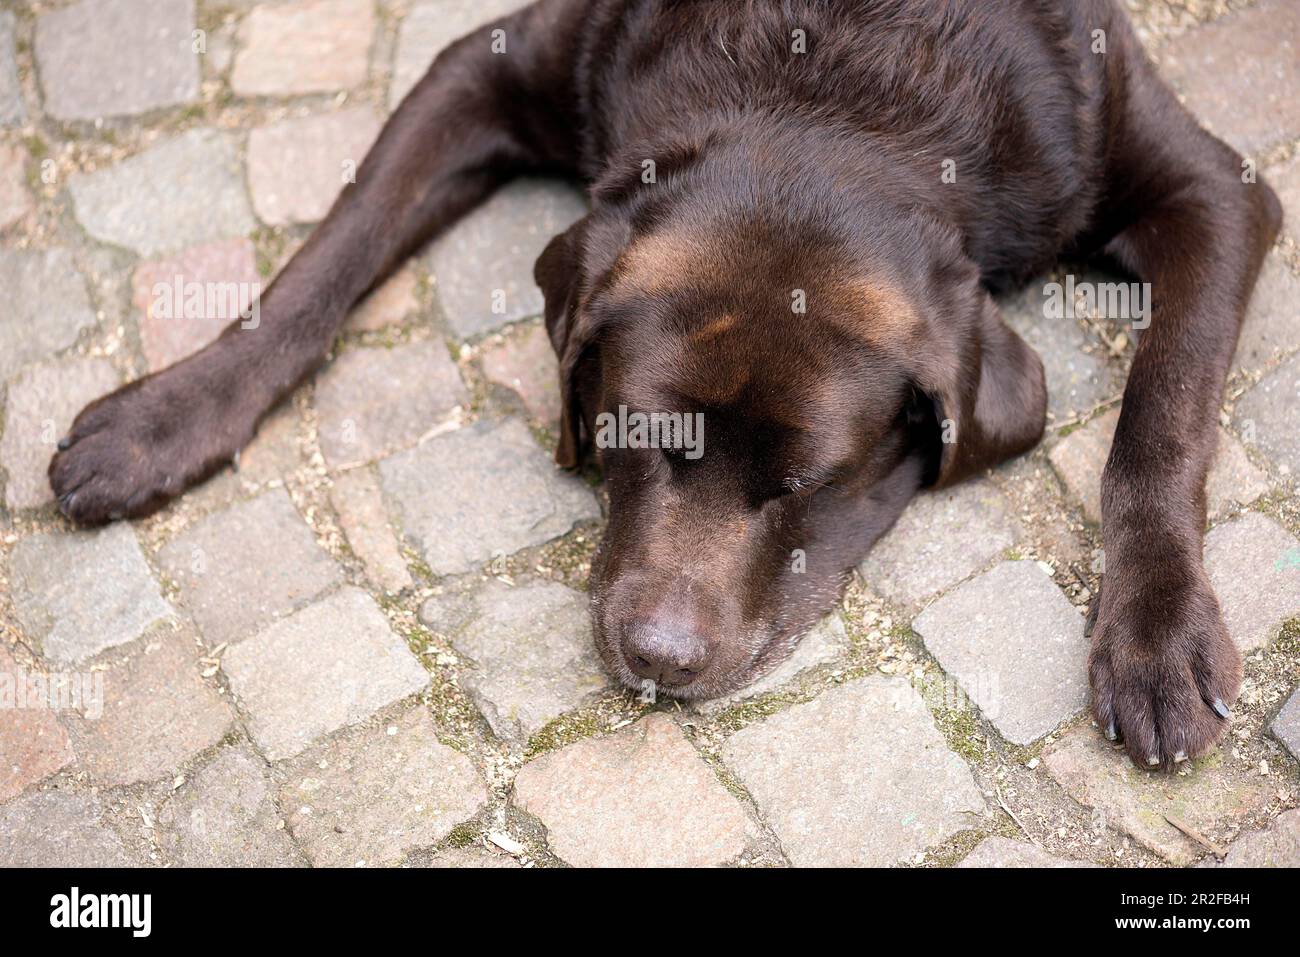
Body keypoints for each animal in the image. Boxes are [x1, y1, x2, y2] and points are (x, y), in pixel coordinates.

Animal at [48, 0, 1279, 764]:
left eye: (807, 486)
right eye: (634, 438)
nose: (660, 659)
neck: (836, 82)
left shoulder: (1212, 186)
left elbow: (1162, 412)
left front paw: (1156, 634)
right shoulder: (486, 66)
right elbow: (329, 250)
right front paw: (162, 419)